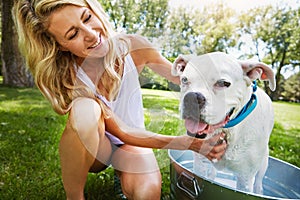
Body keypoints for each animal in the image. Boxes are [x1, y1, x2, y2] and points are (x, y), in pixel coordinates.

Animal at [172, 51, 276, 194]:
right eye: (184, 80)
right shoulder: (200, 165)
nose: (192, 97)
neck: (228, 131)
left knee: (258, 183)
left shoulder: (245, 177)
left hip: (263, 163)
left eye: (223, 83)